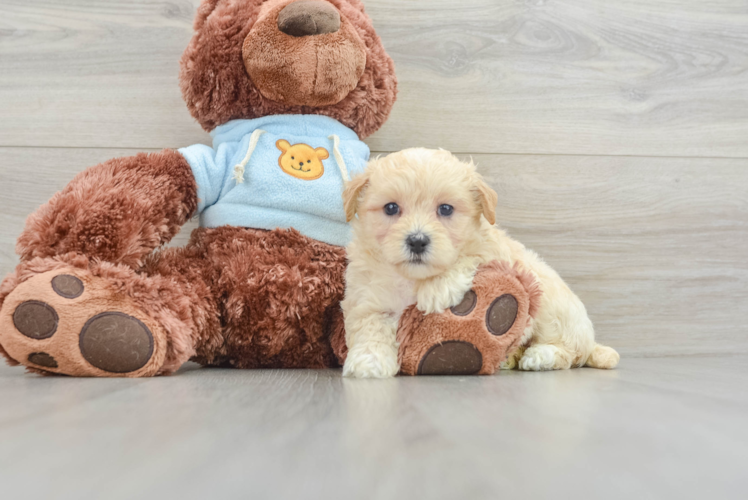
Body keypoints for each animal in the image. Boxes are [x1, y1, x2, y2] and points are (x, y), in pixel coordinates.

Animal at [340, 148, 620, 378]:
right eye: (390, 208)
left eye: (445, 209)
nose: (417, 241)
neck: (413, 278)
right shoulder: (368, 298)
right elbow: (369, 327)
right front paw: (369, 361)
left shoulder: (494, 253)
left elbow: (469, 256)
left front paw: (437, 289)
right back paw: (509, 358)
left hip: (554, 310)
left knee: (570, 352)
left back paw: (540, 356)